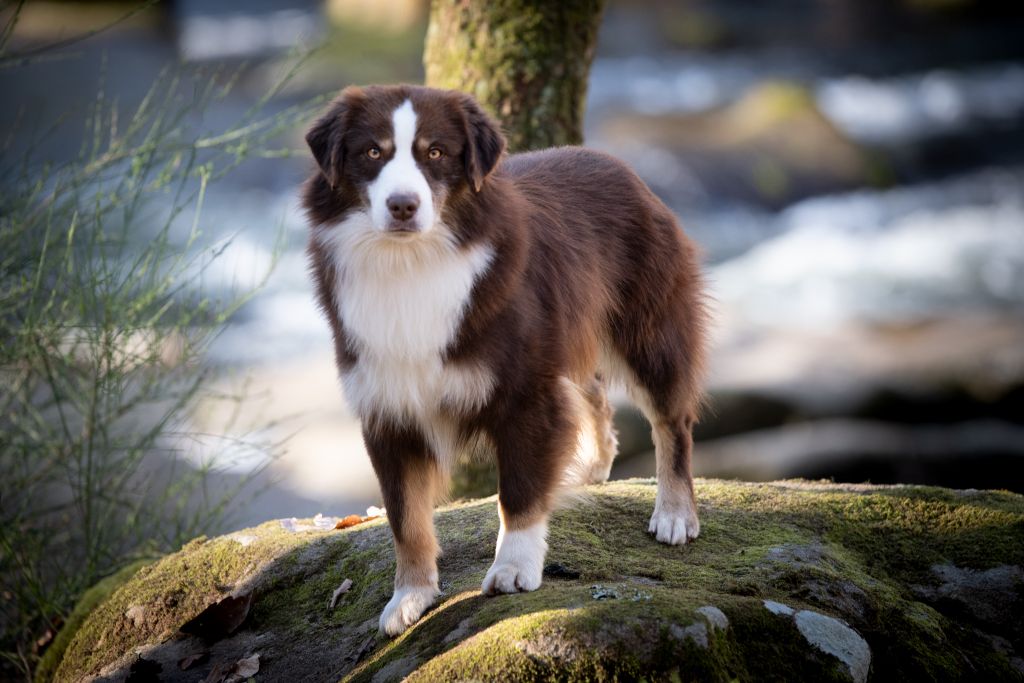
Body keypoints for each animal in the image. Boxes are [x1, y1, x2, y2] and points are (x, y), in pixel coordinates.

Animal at [299, 83, 708, 634]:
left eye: (435, 153)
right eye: (372, 152)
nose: (403, 206)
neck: (411, 262)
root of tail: (622, 167)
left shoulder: (524, 391)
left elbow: (518, 490)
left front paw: (514, 569)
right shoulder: (388, 407)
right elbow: (405, 518)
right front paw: (409, 597)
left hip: (649, 327)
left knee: (671, 420)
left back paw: (675, 513)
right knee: (593, 394)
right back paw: (590, 467)